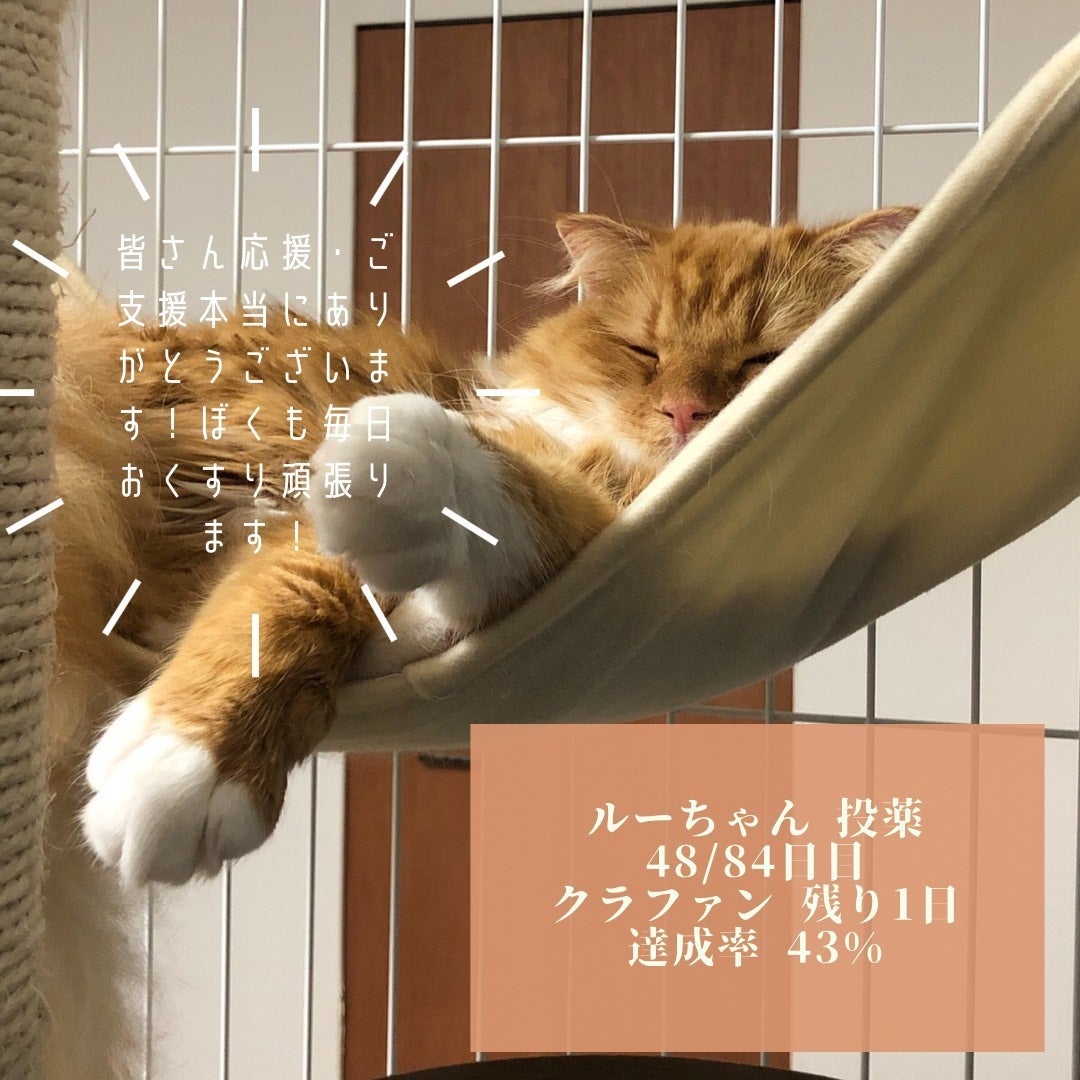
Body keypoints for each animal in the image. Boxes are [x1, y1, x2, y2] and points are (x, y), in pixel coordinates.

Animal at [42, 206, 914, 1077]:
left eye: (764, 357)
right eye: (645, 351)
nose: (686, 415)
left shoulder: (584, 522)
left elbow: (500, 517)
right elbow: (299, 591)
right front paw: (188, 765)